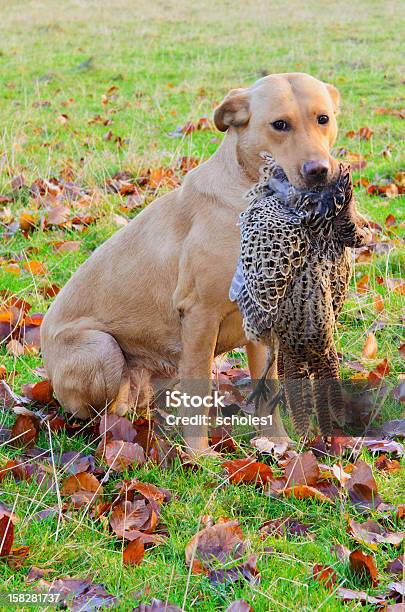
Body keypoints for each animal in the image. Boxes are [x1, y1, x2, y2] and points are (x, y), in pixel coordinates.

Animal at [42, 73, 340, 454]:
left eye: (323, 119)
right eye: (279, 125)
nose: (319, 171)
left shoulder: (260, 322)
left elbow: (268, 391)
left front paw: (277, 444)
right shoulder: (200, 317)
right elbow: (200, 393)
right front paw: (199, 455)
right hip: (102, 349)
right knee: (101, 414)